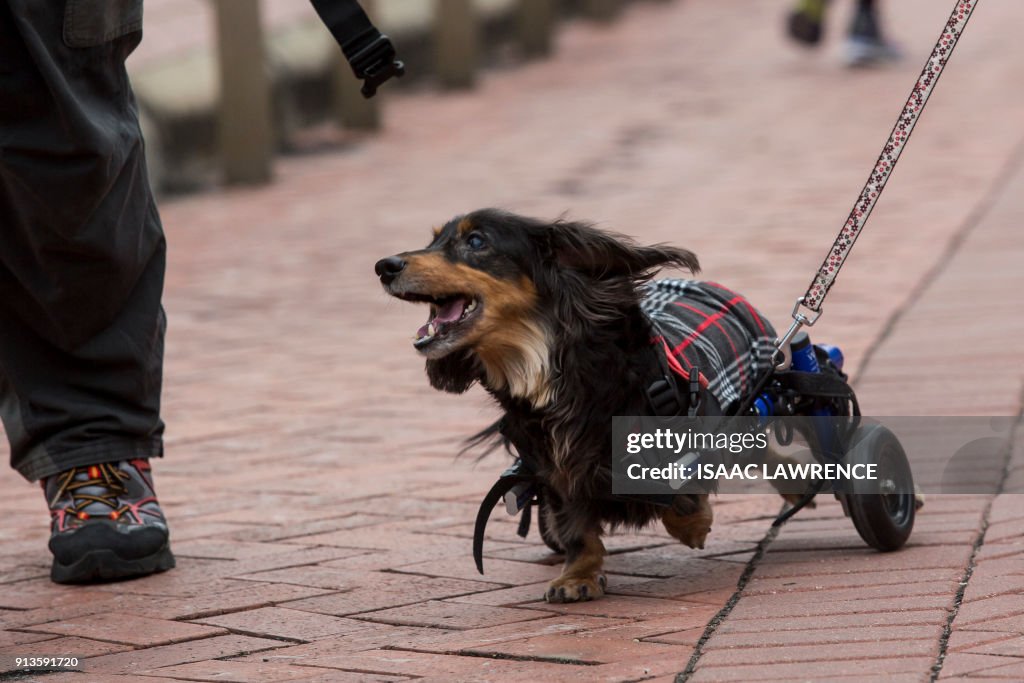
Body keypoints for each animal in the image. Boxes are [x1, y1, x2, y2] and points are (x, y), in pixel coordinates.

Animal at [376, 209, 782, 602]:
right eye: (433, 241)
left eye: (476, 241)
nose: (384, 266)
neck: (551, 373)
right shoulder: (556, 468)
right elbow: (576, 529)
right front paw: (577, 578)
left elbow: (683, 488)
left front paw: (692, 525)